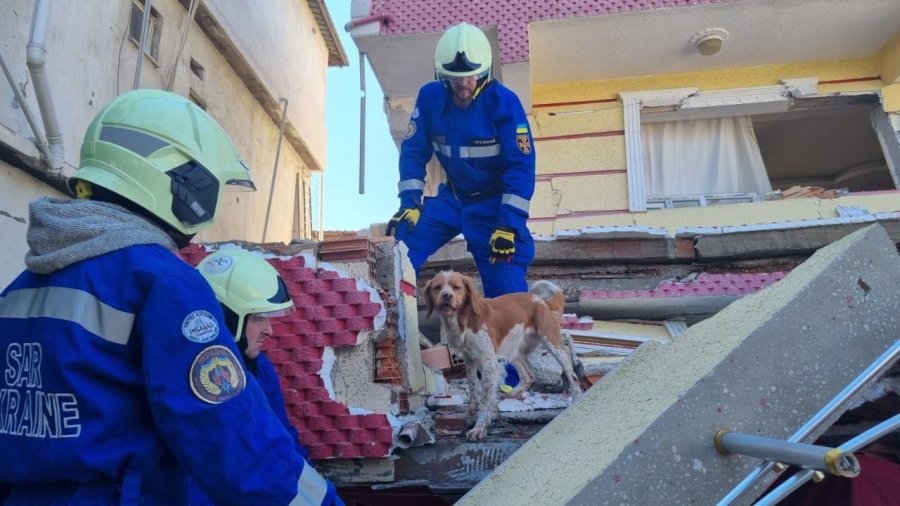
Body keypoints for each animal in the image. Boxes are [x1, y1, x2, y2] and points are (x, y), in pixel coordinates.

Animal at [424, 268, 580, 438]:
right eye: (437, 287)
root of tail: (541, 301)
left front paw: (479, 428)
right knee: (528, 377)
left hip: (552, 343)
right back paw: (511, 394)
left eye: (456, 287)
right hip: (514, 350)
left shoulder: (489, 364)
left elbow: (485, 399)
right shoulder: (468, 359)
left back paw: (576, 399)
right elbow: (473, 386)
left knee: (572, 374)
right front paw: (472, 410)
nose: (446, 295)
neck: (464, 319)